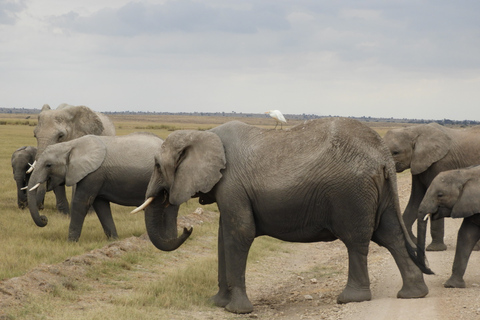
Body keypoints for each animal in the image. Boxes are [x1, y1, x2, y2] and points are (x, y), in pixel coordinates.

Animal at [25, 132, 188, 248]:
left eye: (48, 165)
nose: (45, 219)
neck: (71, 145)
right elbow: (101, 206)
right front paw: (114, 241)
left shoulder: (93, 174)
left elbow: (81, 203)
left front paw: (70, 243)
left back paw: (170, 239)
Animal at [134, 118, 432, 316]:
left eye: (157, 165)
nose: (187, 229)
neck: (203, 134)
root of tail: (383, 155)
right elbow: (223, 236)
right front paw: (217, 303)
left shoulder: (232, 186)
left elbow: (239, 234)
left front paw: (237, 310)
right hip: (377, 191)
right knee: (390, 235)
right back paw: (413, 294)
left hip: (352, 193)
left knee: (356, 240)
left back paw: (351, 299)